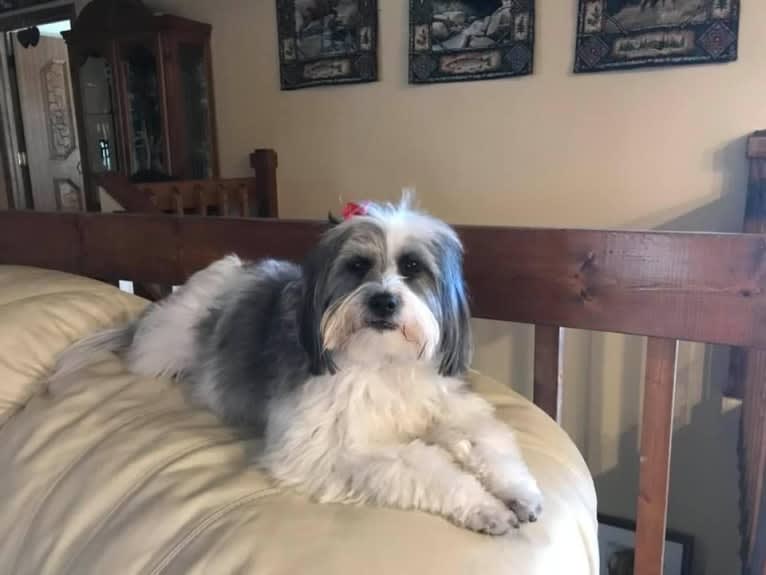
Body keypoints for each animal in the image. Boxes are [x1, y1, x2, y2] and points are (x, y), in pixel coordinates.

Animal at [52, 197, 544, 536]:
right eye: (358, 266)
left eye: (412, 267)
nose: (384, 300)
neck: (382, 361)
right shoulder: (330, 448)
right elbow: (422, 465)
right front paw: (484, 506)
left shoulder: (450, 405)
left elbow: (483, 442)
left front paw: (517, 491)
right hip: (164, 349)